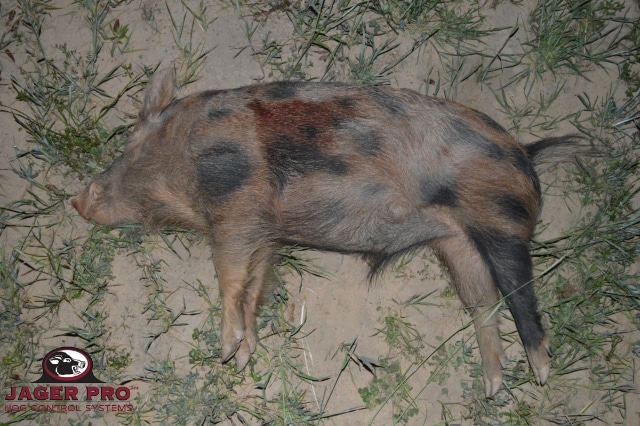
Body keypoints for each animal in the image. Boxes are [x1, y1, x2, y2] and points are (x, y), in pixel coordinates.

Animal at [72, 68, 582, 397]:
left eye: (129, 145)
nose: (77, 200)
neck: (186, 155)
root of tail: (526, 154)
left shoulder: (236, 203)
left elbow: (230, 274)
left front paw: (227, 348)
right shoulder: (266, 232)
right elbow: (254, 285)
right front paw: (245, 353)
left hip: (500, 220)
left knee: (519, 293)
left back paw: (541, 373)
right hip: (457, 244)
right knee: (482, 301)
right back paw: (493, 387)